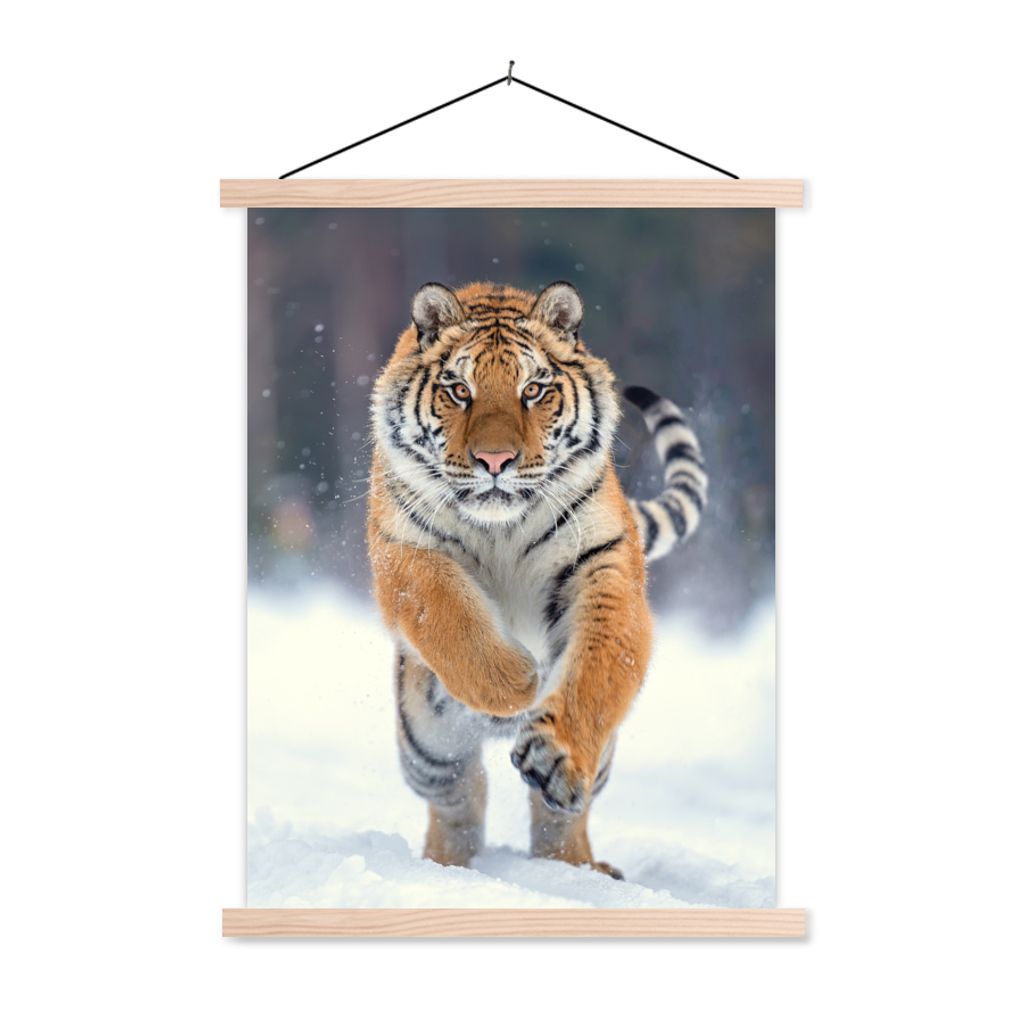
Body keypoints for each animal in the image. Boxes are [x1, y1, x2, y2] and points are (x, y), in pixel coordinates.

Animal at [366, 280, 707, 879]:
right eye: (459, 389)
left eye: (533, 389)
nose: (495, 460)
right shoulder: (403, 550)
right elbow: (447, 613)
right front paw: (516, 681)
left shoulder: (603, 563)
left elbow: (599, 666)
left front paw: (555, 754)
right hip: (427, 746)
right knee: (460, 796)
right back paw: (446, 867)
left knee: (558, 816)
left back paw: (578, 869)